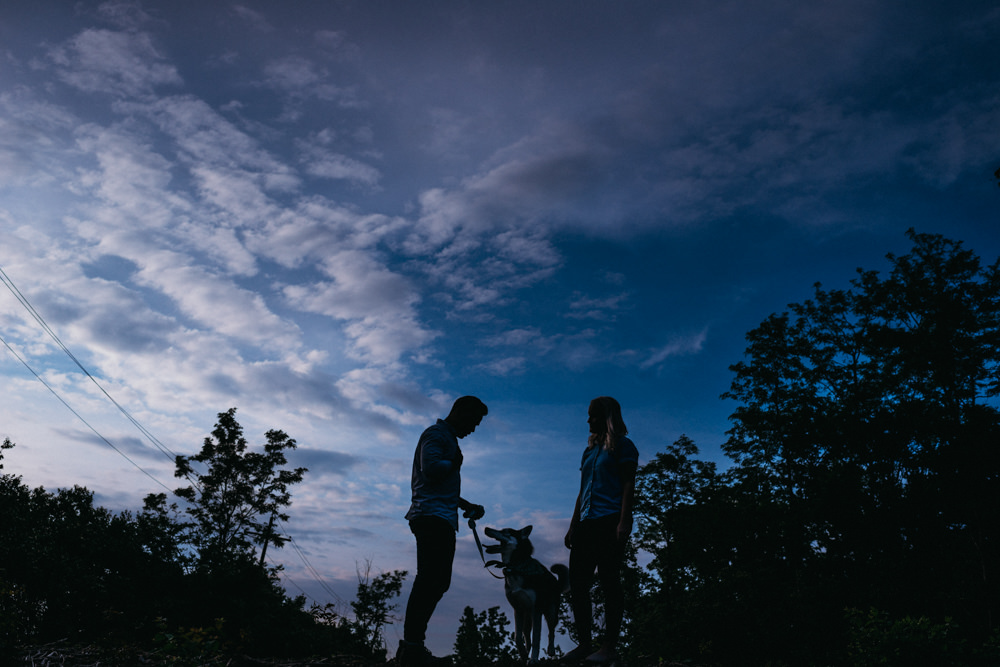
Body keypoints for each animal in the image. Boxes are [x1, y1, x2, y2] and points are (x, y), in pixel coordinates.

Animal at [484, 528, 572, 664]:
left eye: (506, 532)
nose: (486, 528)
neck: (516, 567)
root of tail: (556, 582)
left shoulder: (537, 610)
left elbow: (536, 638)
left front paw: (533, 659)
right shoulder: (517, 609)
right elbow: (518, 637)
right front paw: (523, 654)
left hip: (550, 612)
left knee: (551, 631)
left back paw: (551, 650)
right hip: (527, 617)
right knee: (527, 637)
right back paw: (525, 654)